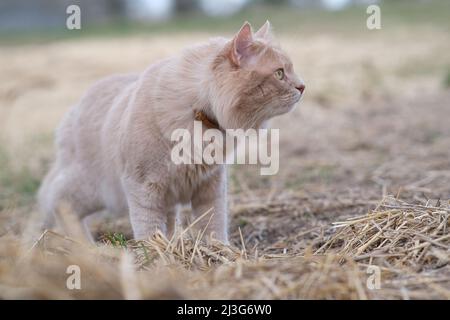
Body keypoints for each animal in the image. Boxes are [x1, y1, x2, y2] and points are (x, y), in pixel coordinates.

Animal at [37, 21, 306, 244]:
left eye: (291, 70)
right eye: (279, 73)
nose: (302, 87)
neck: (199, 111)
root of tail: (74, 109)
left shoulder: (210, 187)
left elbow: (213, 226)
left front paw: (218, 252)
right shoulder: (144, 189)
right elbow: (148, 230)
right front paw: (156, 258)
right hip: (97, 188)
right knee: (57, 199)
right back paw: (86, 248)